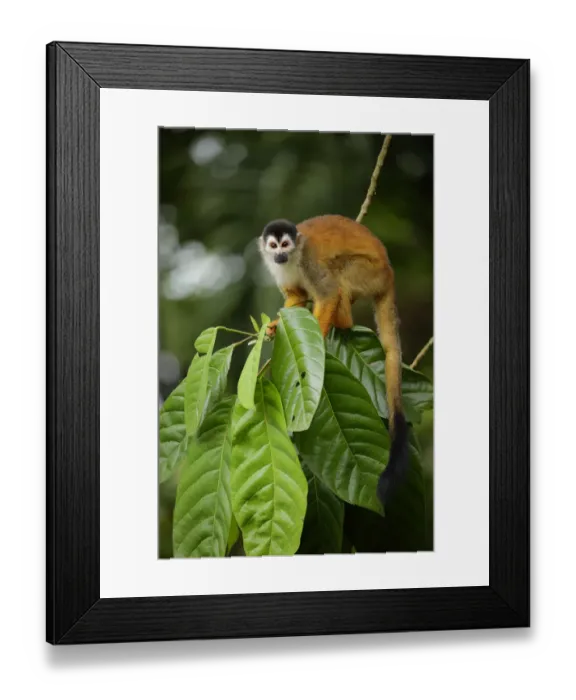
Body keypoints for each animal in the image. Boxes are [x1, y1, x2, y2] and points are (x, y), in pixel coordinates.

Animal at [258, 214, 409, 508]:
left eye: (285, 244)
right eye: (273, 246)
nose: (280, 254)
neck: (291, 260)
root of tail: (389, 272)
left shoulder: (308, 260)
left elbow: (327, 294)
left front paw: (315, 335)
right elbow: (296, 297)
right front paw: (274, 325)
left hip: (369, 273)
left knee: (337, 278)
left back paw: (343, 320)